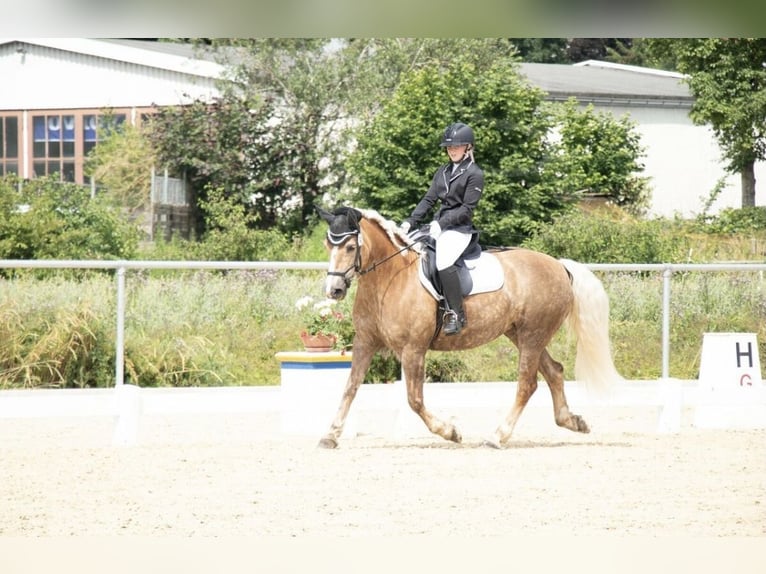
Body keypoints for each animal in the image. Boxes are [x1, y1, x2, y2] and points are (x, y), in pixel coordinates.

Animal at [318, 207, 624, 450]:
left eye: (350, 247)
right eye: (328, 246)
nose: (334, 290)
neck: (389, 277)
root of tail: (559, 265)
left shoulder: (413, 349)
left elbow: (414, 400)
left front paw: (450, 432)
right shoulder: (365, 342)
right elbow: (350, 387)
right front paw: (330, 435)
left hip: (532, 335)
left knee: (527, 384)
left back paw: (498, 436)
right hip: (520, 334)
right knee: (555, 372)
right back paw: (572, 421)